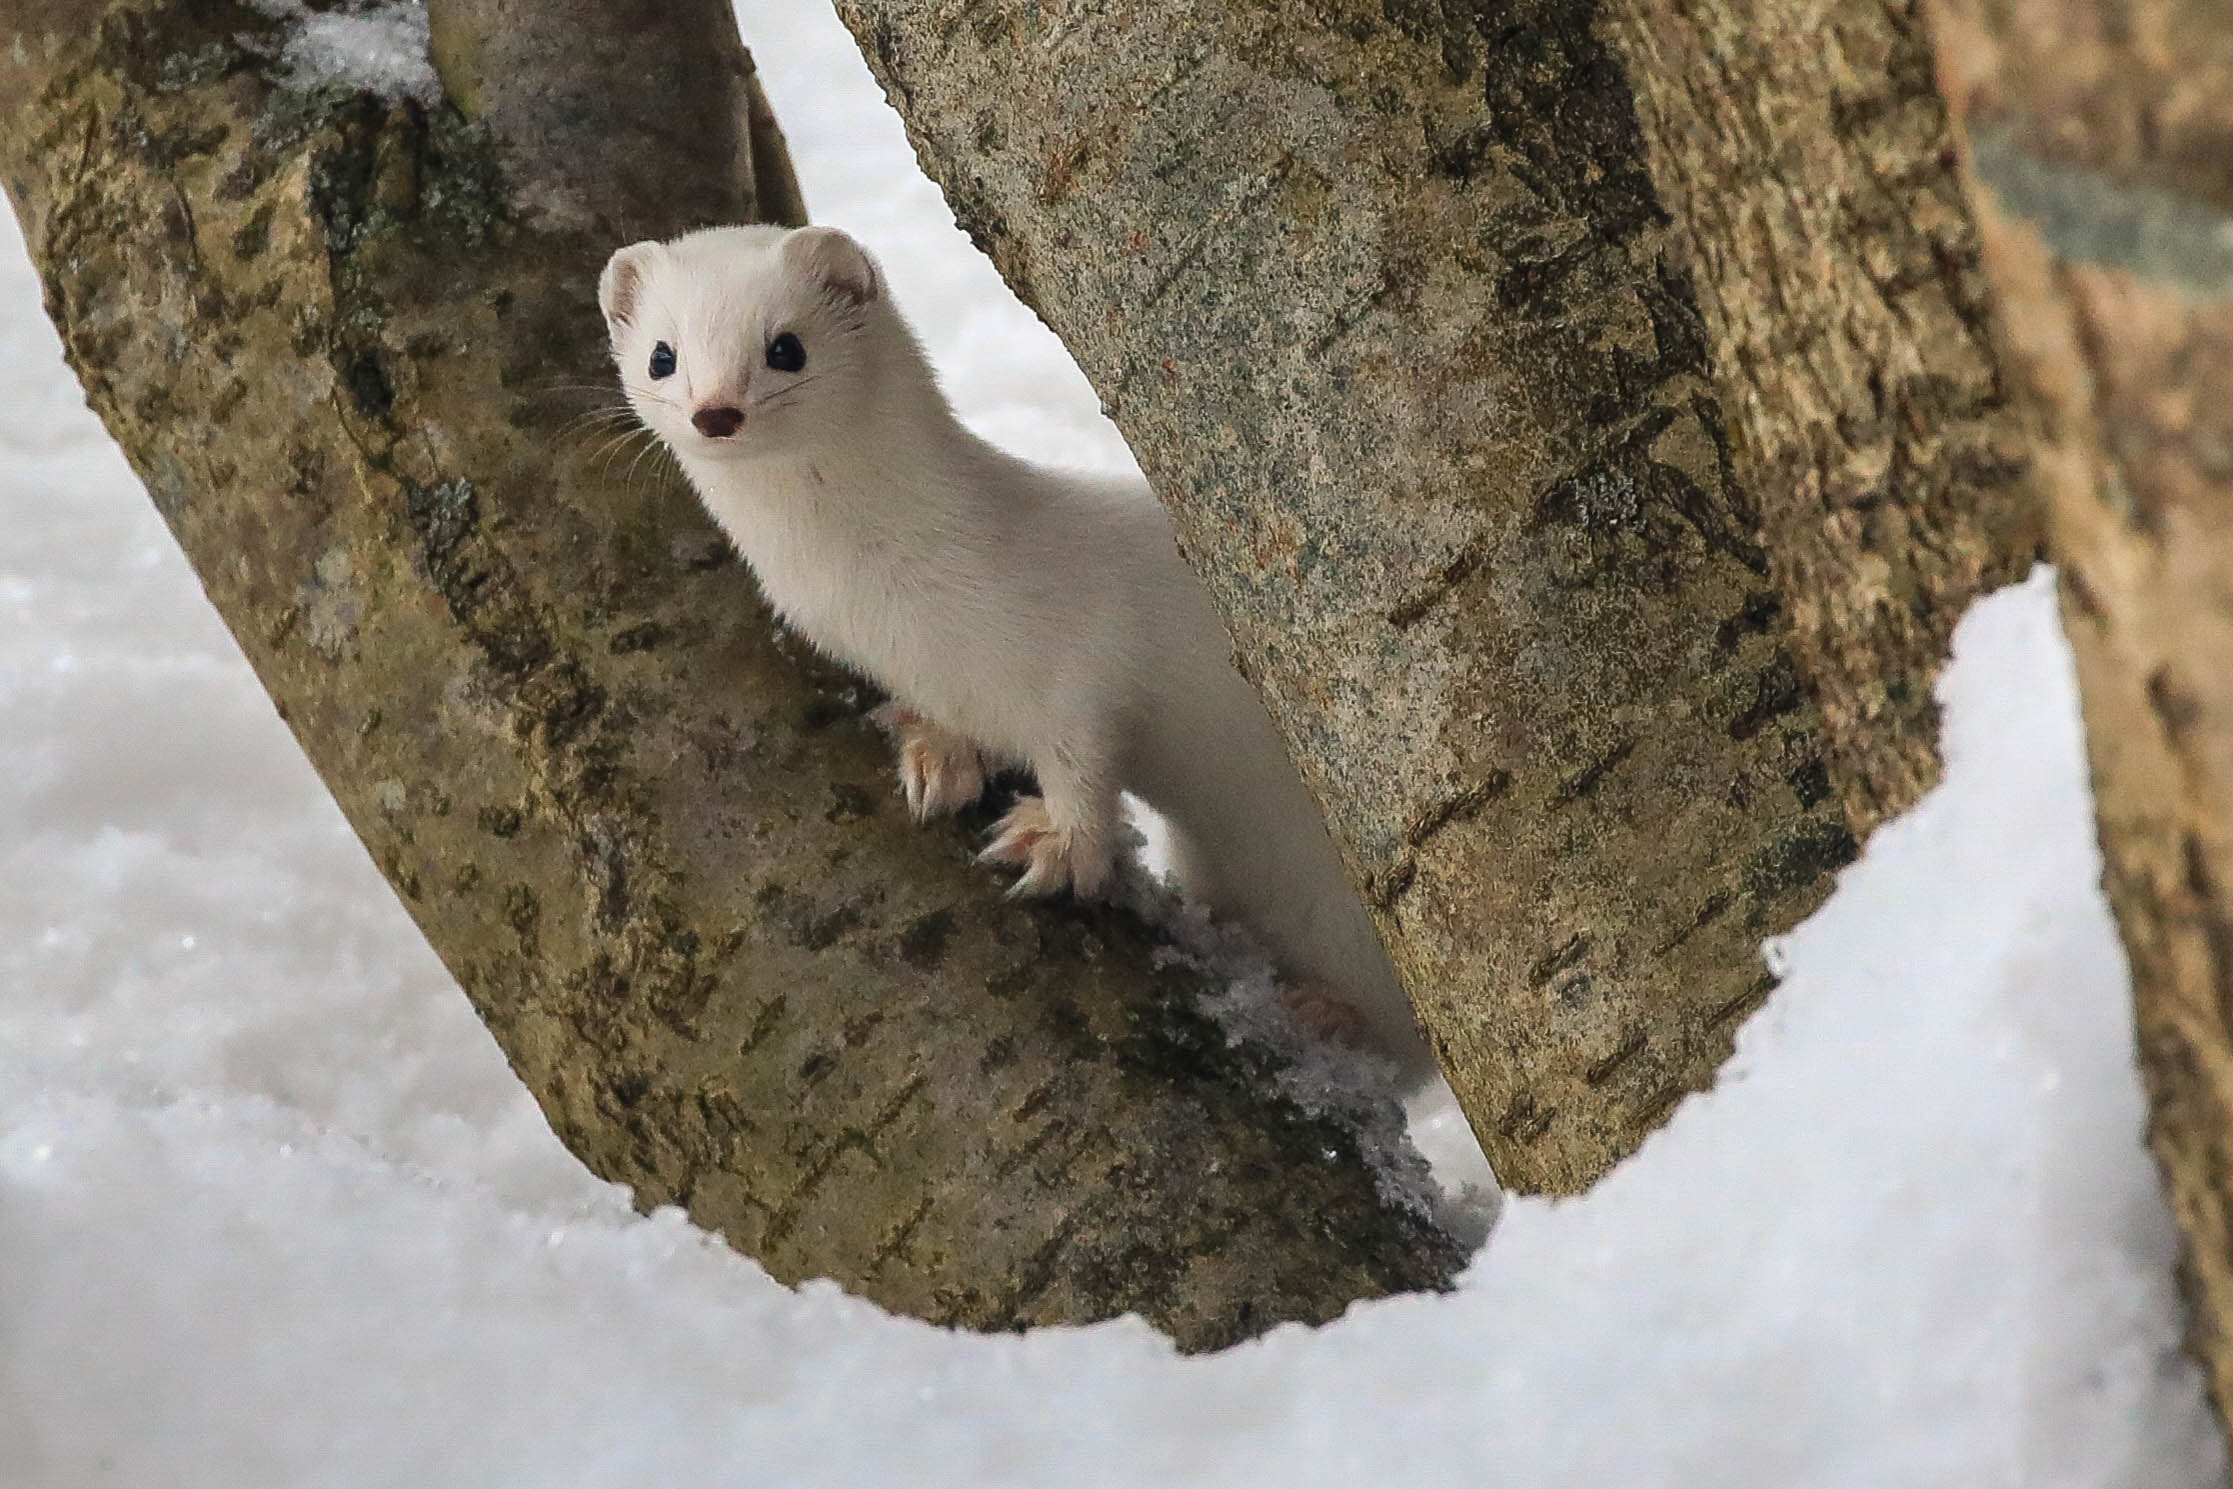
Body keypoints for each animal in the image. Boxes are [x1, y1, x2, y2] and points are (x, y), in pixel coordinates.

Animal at [593, 224, 1429, 1084]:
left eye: (785, 346)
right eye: (661, 355)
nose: (715, 411)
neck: (881, 603)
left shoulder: (1081, 652)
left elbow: (1084, 751)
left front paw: (1054, 842)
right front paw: (939, 753)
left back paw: (1321, 1012)